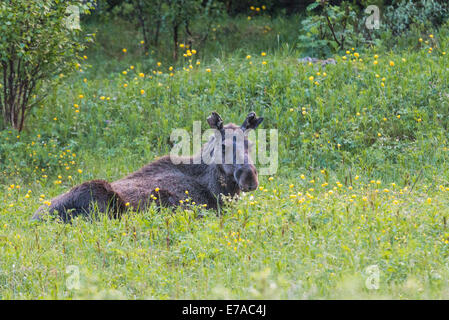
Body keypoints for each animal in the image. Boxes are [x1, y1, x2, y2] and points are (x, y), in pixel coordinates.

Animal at [32, 111, 262, 221]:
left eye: (250, 144)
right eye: (223, 146)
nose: (249, 178)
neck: (217, 188)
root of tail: (35, 219)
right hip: (97, 194)